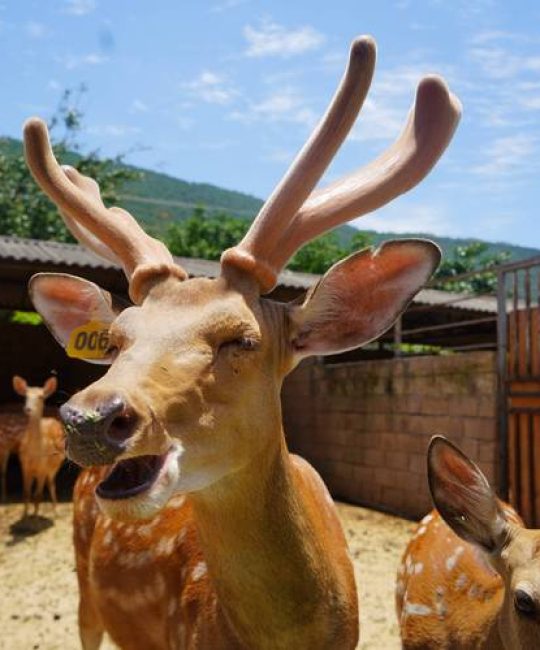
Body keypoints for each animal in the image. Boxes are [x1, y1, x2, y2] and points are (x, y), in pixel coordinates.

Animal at [13, 375, 65, 517]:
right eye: (25, 396)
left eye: (41, 397)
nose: (28, 409)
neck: (34, 452)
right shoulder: (24, 465)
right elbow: (26, 493)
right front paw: (25, 516)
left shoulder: (43, 467)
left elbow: (38, 495)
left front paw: (35, 518)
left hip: (55, 465)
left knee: (51, 483)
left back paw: (56, 511)